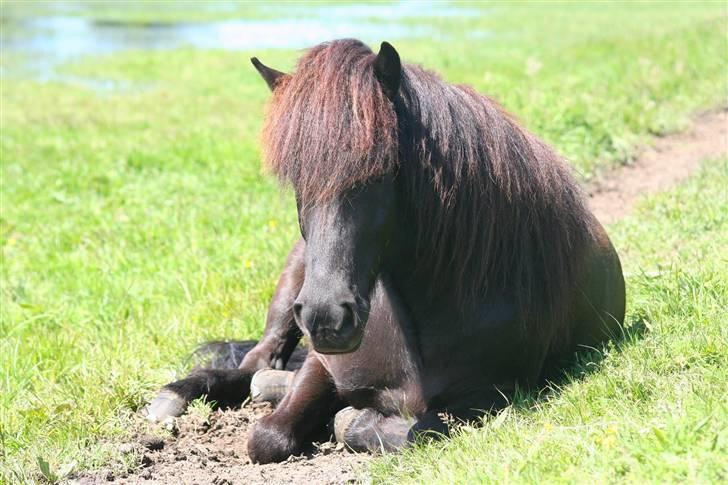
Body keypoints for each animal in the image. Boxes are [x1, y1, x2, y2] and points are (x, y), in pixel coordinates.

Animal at [145, 37, 624, 462]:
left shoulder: (490, 395)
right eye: (297, 179)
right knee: (258, 360)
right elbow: (268, 436)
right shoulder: (323, 364)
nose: (326, 317)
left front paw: (349, 420)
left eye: (381, 172)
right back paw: (176, 394)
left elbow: (416, 430)